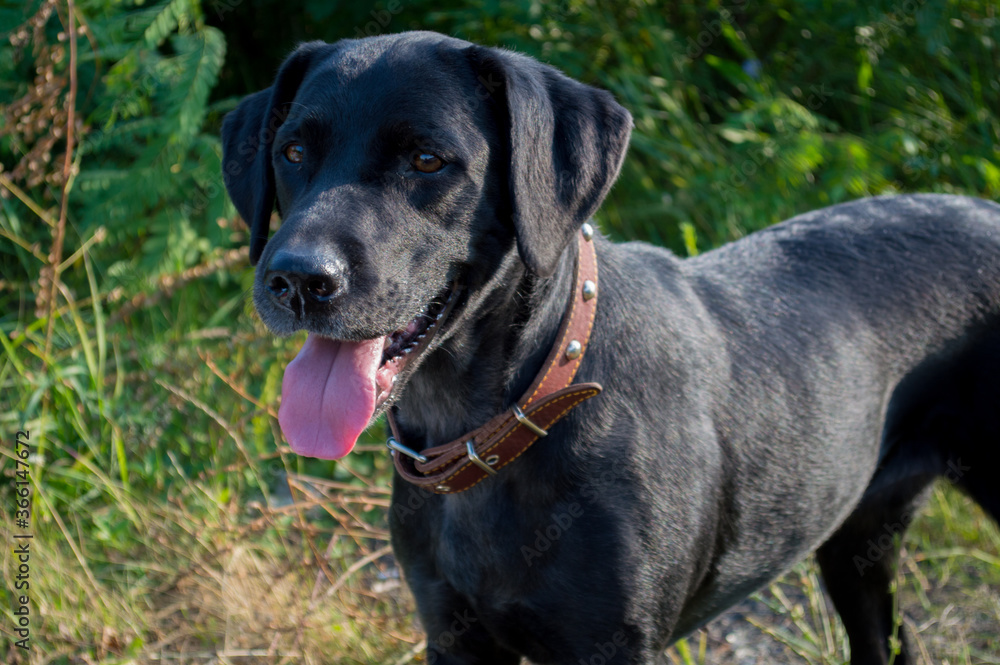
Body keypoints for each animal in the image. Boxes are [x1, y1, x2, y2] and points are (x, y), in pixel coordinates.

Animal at [221, 29, 1000, 660]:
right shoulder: (454, 636)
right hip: (857, 543)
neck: (496, 422)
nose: (296, 279)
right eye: (293, 151)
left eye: (427, 159)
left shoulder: (614, 645)